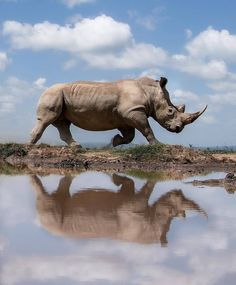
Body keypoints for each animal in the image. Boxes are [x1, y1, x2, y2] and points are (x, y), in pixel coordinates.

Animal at [30, 76, 206, 145]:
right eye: (170, 111)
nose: (178, 129)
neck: (151, 93)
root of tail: (44, 90)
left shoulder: (126, 116)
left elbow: (130, 136)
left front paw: (115, 142)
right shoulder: (133, 111)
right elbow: (147, 129)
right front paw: (158, 145)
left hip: (59, 96)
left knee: (62, 123)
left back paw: (76, 147)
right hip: (53, 94)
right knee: (47, 119)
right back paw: (31, 146)